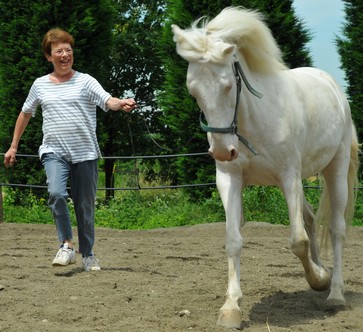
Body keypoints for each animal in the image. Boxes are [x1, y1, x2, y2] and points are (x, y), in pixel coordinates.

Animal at [173, 6, 362, 328]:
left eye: (228, 86)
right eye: (193, 91)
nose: (223, 151)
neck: (252, 120)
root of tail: (331, 85)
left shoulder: (289, 177)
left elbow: (297, 241)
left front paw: (319, 279)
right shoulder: (230, 179)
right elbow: (233, 241)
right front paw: (231, 307)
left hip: (334, 170)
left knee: (336, 229)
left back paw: (334, 291)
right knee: (310, 219)